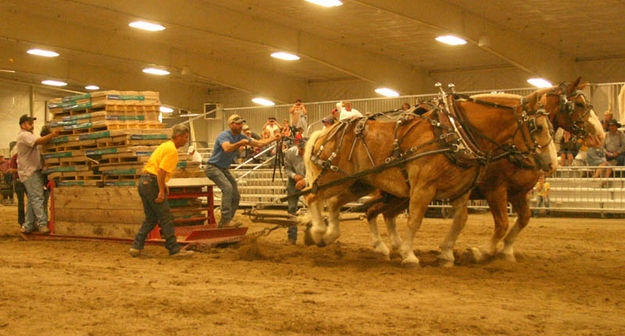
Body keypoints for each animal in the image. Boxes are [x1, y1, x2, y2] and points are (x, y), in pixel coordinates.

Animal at [302, 88, 556, 266]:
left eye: (552, 127)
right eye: (539, 127)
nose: (551, 163)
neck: (454, 132)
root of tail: (325, 132)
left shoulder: (462, 190)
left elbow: (461, 220)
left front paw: (447, 254)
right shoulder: (425, 188)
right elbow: (415, 220)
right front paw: (409, 254)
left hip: (359, 183)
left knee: (337, 204)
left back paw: (335, 236)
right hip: (334, 178)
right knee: (312, 198)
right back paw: (318, 231)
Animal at [360, 78, 604, 262]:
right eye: (578, 105)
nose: (600, 136)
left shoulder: (517, 192)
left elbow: (524, 218)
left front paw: (506, 251)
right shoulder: (494, 189)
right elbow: (503, 223)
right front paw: (482, 251)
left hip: (401, 193)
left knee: (383, 213)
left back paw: (395, 245)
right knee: (373, 211)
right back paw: (386, 246)